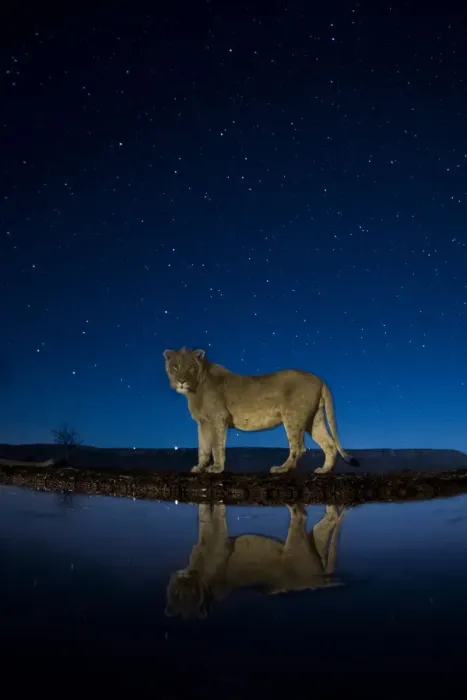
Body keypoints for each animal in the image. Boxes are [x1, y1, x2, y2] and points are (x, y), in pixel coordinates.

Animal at [163, 347, 358, 474]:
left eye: (190, 367)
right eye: (175, 367)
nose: (181, 381)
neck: (194, 389)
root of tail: (319, 378)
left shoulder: (219, 418)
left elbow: (217, 446)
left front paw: (217, 468)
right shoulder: (203, 422)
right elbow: (203, 447)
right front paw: (199, 467)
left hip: (293, 417)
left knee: (299, 447)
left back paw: (282, 469)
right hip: (314, 419)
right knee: (329, 444)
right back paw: (325, 470)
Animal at [165, 503, 346, 620]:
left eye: (193, 593)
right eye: (177, 594)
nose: (184, 579)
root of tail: (319, 581)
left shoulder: (220, 546)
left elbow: (214, 516)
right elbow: (204, 515)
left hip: (295, 544)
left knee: (301, 515)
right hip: (313, 542)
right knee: (330, 519)